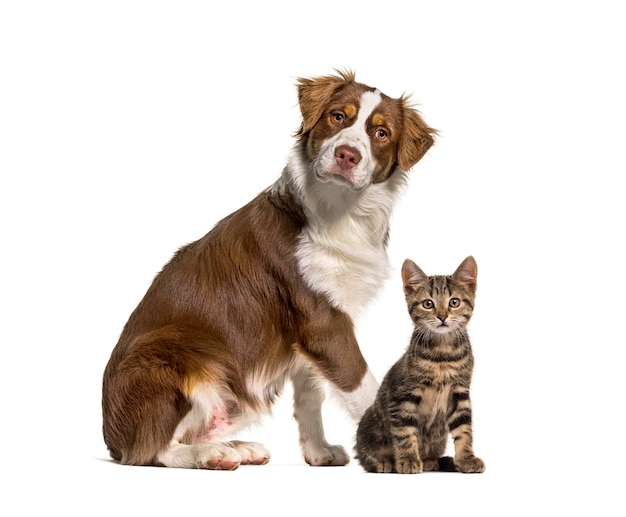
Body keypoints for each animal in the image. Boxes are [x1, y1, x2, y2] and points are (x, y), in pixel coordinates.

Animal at [101, 70, 434, 470]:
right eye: (338, 116)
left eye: (381, 133)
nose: (347, 155)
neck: (340, 212)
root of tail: (110, 438)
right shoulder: (323, 322)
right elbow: (365, 386)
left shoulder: (310, 334)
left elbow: (310, 396)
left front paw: (319, 452)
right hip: (176, 354)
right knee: (152, 449)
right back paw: (211, 454)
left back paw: (238, 447)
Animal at [356, 256, 482, 474]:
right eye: (428, 304)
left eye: (454, 302)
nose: (442, 316)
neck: (443, 355)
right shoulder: (403, 396)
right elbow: (405, 432)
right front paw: (407, 460)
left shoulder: (460, 392)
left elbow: (464, 429)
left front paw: (467, 458)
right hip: (369, 426)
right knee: (365, 453)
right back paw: (384, 462)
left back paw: (430, 460)